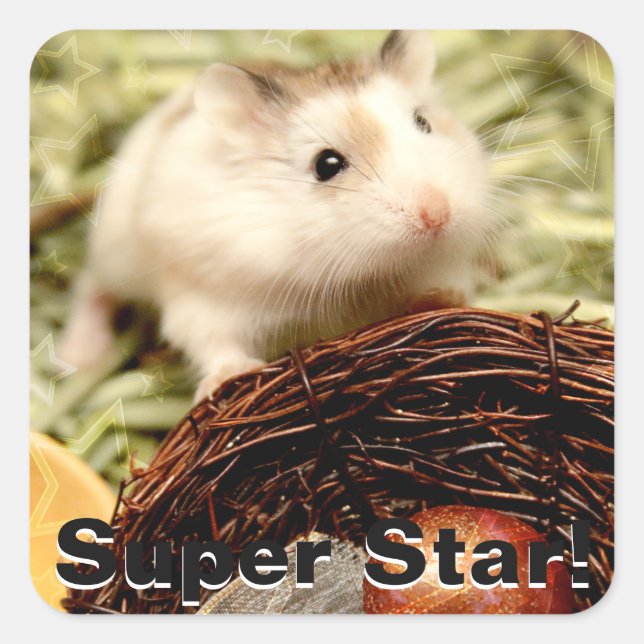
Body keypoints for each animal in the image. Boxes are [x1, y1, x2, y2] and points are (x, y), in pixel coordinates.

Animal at [60, 31, 495, 402]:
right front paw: (230, 377)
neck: (359, 274)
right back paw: (77, 359)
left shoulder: (441, 265)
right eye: (326, 164)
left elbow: (441, 289)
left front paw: (439, 301)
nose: (437, 215)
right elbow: (214, 344)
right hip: (114, 252)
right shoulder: (204, 298)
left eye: (424, 123)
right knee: (90, 287)